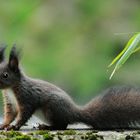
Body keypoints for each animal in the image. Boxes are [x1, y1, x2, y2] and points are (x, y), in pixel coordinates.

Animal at [0, 45, 140, 131]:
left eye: (5, 75)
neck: (12, 89)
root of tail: (73, 111)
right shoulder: (10, 103)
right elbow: (10, 115)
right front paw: (4, 125)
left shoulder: (27, 98)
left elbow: (24, 115)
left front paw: (14, 127)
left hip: (52, 108)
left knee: (63, 125)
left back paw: (48, 127)